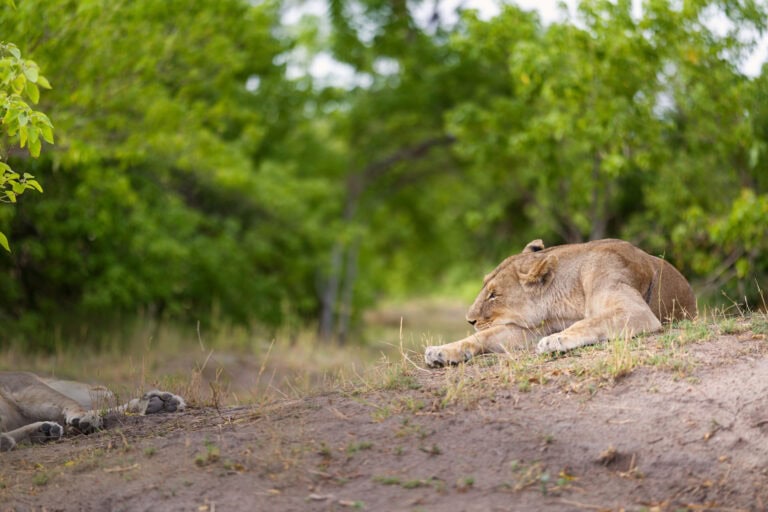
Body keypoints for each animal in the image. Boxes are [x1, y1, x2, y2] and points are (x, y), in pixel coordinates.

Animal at [425, 238, 696, 367]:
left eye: (494, 295)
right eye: (485, 288)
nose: (469, 320)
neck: (561, 306)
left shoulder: (636, 310)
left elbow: (591, 322)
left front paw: (555, 340)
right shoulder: (531, 329)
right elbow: (483, 336)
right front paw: (440, 351)